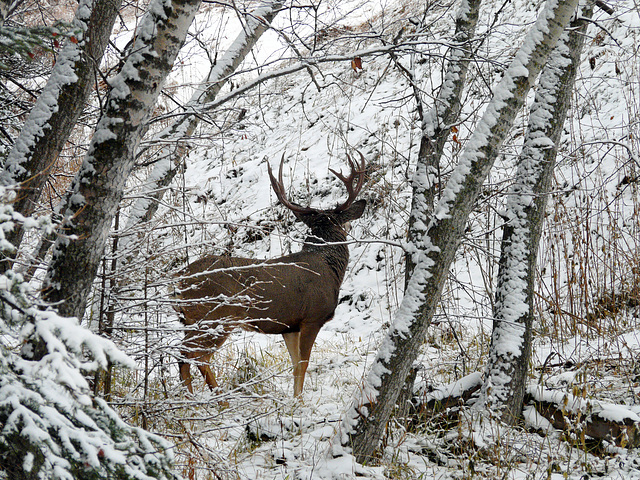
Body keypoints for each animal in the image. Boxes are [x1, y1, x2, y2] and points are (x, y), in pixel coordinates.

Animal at [172, 152, 368, 396]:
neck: (328, 266)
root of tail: (177, 282)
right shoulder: (312, 317)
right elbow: (304, 364)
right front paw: (299, 402)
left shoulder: (290, 326)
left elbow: (295, 366)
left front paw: (295, 400)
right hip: (216, 317)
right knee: (194, 355)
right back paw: (217, 399)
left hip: (192, 320)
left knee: (183, 355)